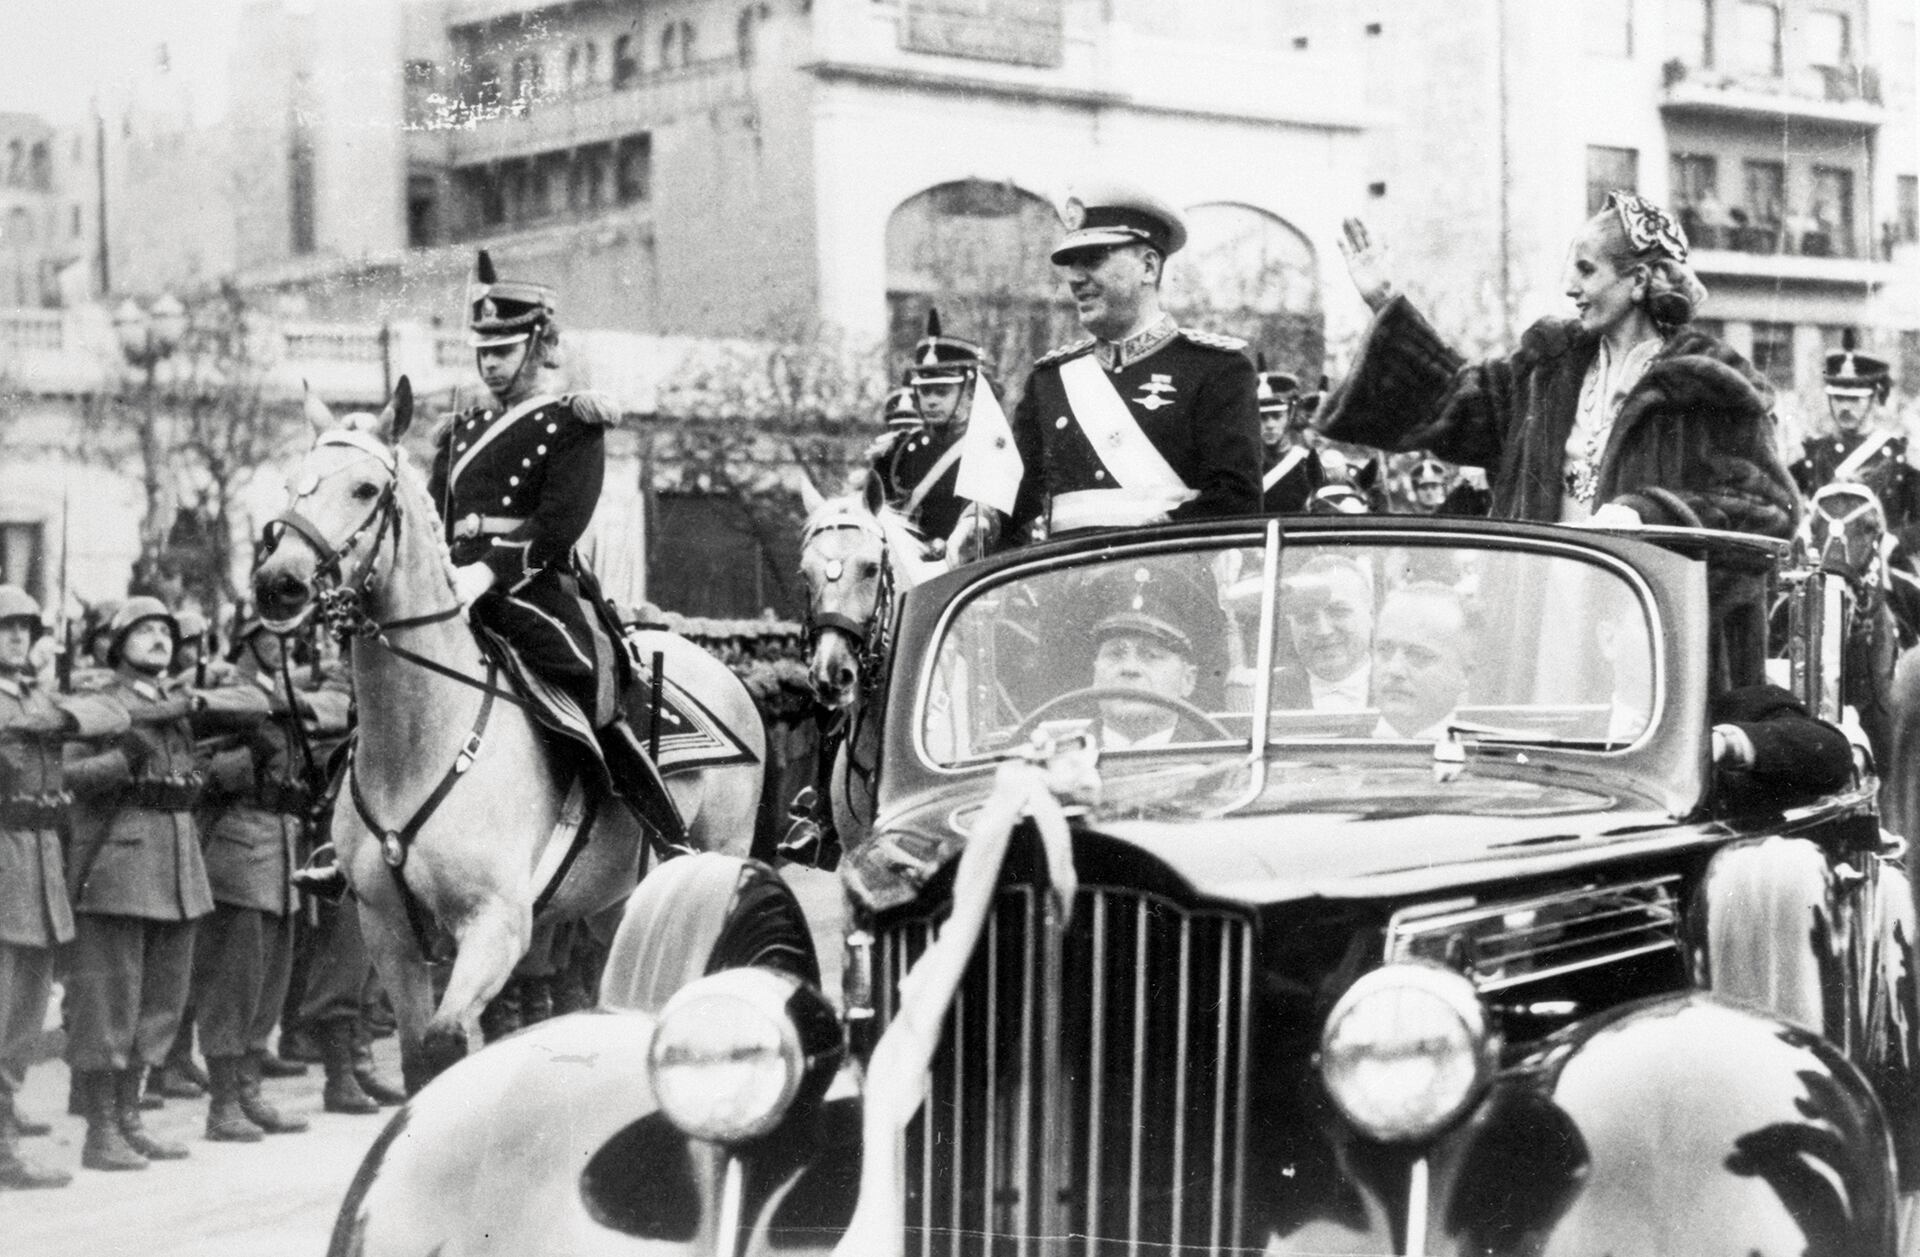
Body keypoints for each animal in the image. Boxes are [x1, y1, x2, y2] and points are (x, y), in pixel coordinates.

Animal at [251, 381, 760, 1090]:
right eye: (293, 483)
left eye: (364, 489)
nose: (279, 584)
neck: (420, 741)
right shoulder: (386, 930)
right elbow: (419, 1059)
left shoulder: (496, 924)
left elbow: (445, 1044)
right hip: (617, 901)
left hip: (715, 859)